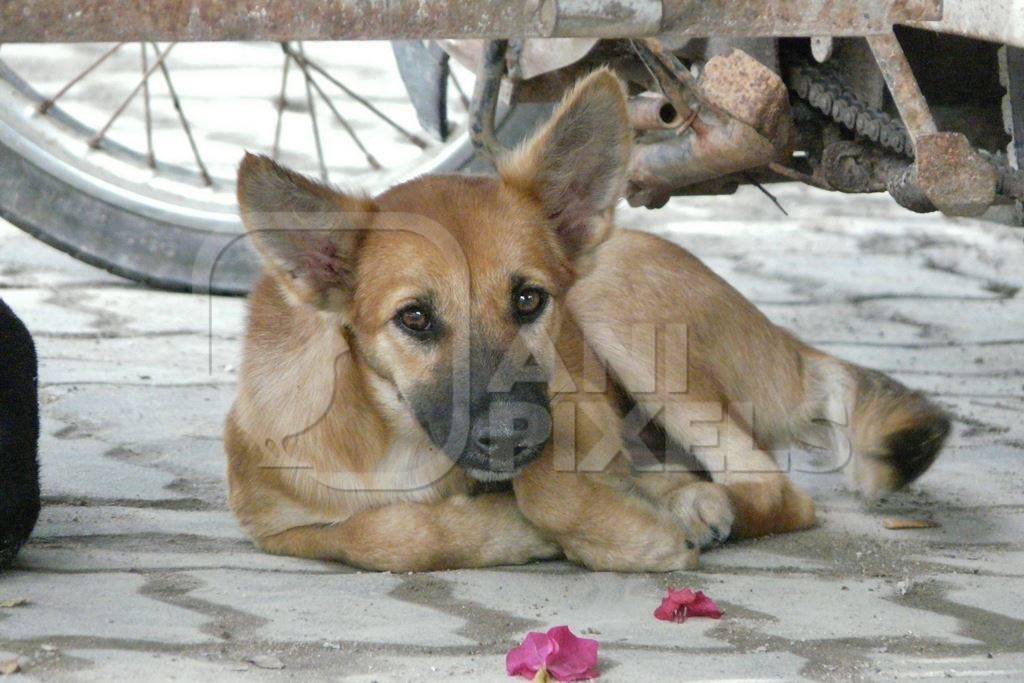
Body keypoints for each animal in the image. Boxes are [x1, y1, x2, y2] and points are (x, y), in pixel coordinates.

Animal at [226, 69, 950, 573]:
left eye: (529, 300)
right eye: (415, 318)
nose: (509, 434)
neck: (397, 439)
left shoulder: (573, 405)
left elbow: (547, 487)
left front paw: (626, 533)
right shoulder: (270, 517)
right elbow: (381, 534)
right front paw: (506, 530)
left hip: (620, 316)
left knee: (770, 489)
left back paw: (690, 504)